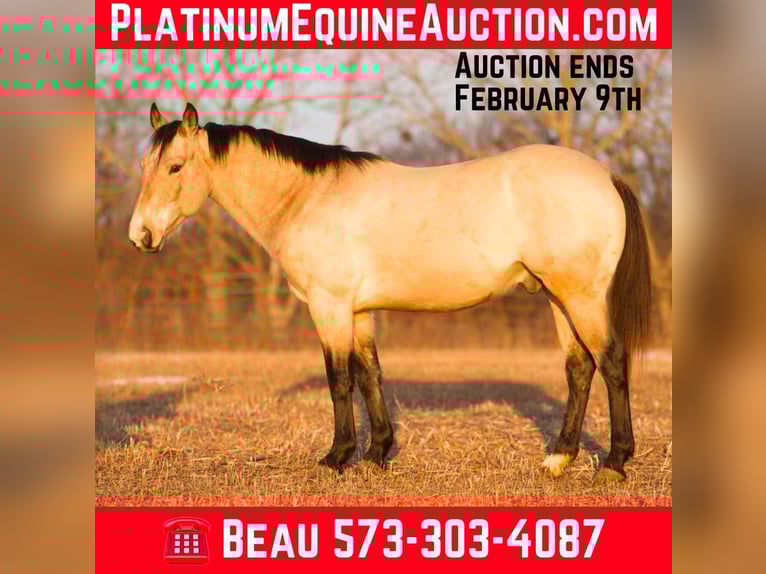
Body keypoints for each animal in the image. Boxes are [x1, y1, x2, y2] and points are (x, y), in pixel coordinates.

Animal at [129, 103, 651, 483]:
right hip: (559, 298)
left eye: (175, 167)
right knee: (579, 368)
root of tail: (605, 175)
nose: (141, 236)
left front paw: (337, 456)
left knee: (611, 362)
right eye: (144, 166)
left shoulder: (330, 306)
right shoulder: (358, 312)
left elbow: (339, 380)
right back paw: (559, 458)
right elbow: (369, 376)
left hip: (581, 297)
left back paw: (614, 462)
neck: (308, 198)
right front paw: (377, 452)